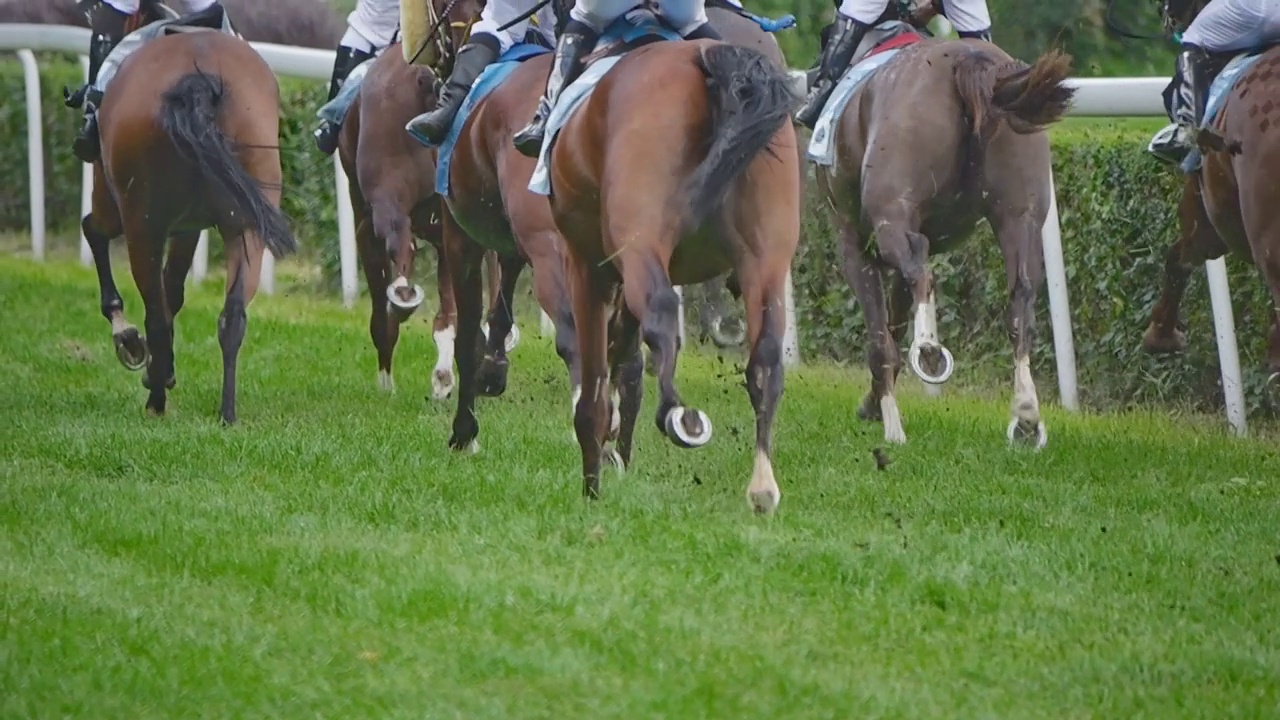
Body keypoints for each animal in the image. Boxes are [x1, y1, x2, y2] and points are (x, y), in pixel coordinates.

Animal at [81, 22, 295, 422]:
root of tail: (199, 83)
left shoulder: (116, 203)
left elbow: (94, 231)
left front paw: (130, 341)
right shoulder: (191, 226)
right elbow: (175, 289)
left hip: (141, 223)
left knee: (156, 316)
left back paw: (155, 400)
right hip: (245, 225)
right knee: (233, 315)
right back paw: (227, 413)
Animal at [532, 18, 798, 509]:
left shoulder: (588, 266)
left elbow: (597, 389)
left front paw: (593, 482)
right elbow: (624, 358)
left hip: (640, 241)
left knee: (659, 311)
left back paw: (679, 415)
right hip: (766, 259)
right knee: (767, 356)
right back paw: (762, 485)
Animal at [814, 15, 1075, 448]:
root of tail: (969, 62)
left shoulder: (854, 241)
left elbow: (881, 335)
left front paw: (884, 414)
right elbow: (893, 321)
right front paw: (873, 402)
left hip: (891, 216)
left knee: (921, 275)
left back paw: (928, 355)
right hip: (1020, 215)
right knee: (1020, 299)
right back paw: (1026, 416)